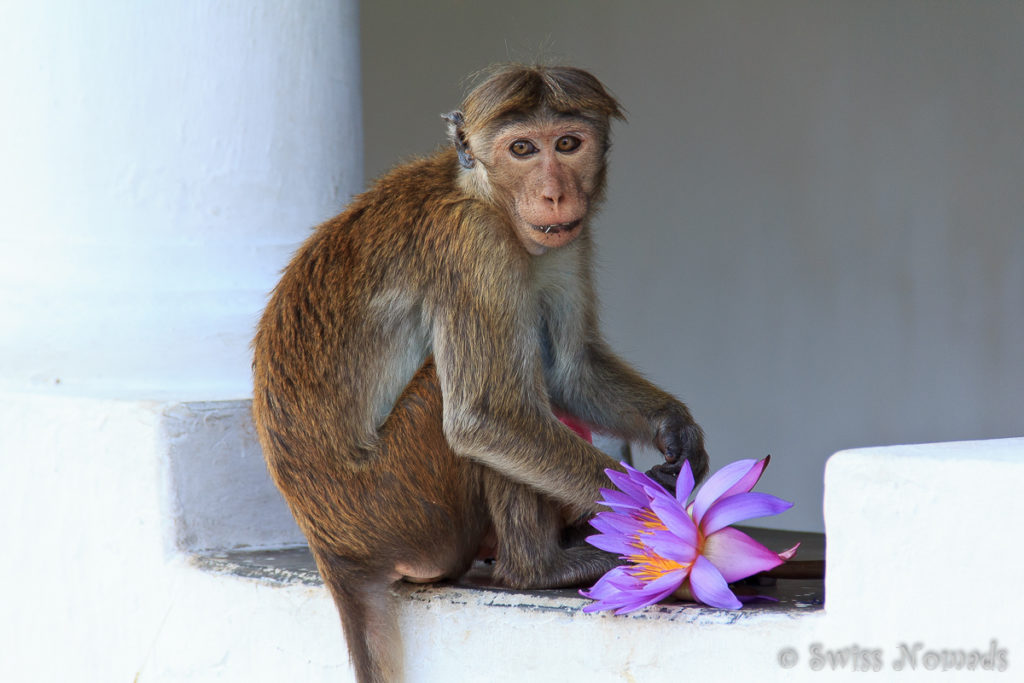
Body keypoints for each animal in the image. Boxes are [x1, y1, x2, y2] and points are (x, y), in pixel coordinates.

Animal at [251, 65, 708, 683]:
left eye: (568, 143)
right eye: (522, 149)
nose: (554, 191)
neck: (487, 199)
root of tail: (334, 551)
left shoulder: (566, 240)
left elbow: (571, 372)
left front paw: (677, 430)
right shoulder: (476, 247)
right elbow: (488, 418)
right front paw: (661, 514)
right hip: (401, 505)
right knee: (472, 400)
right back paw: (537, 569)